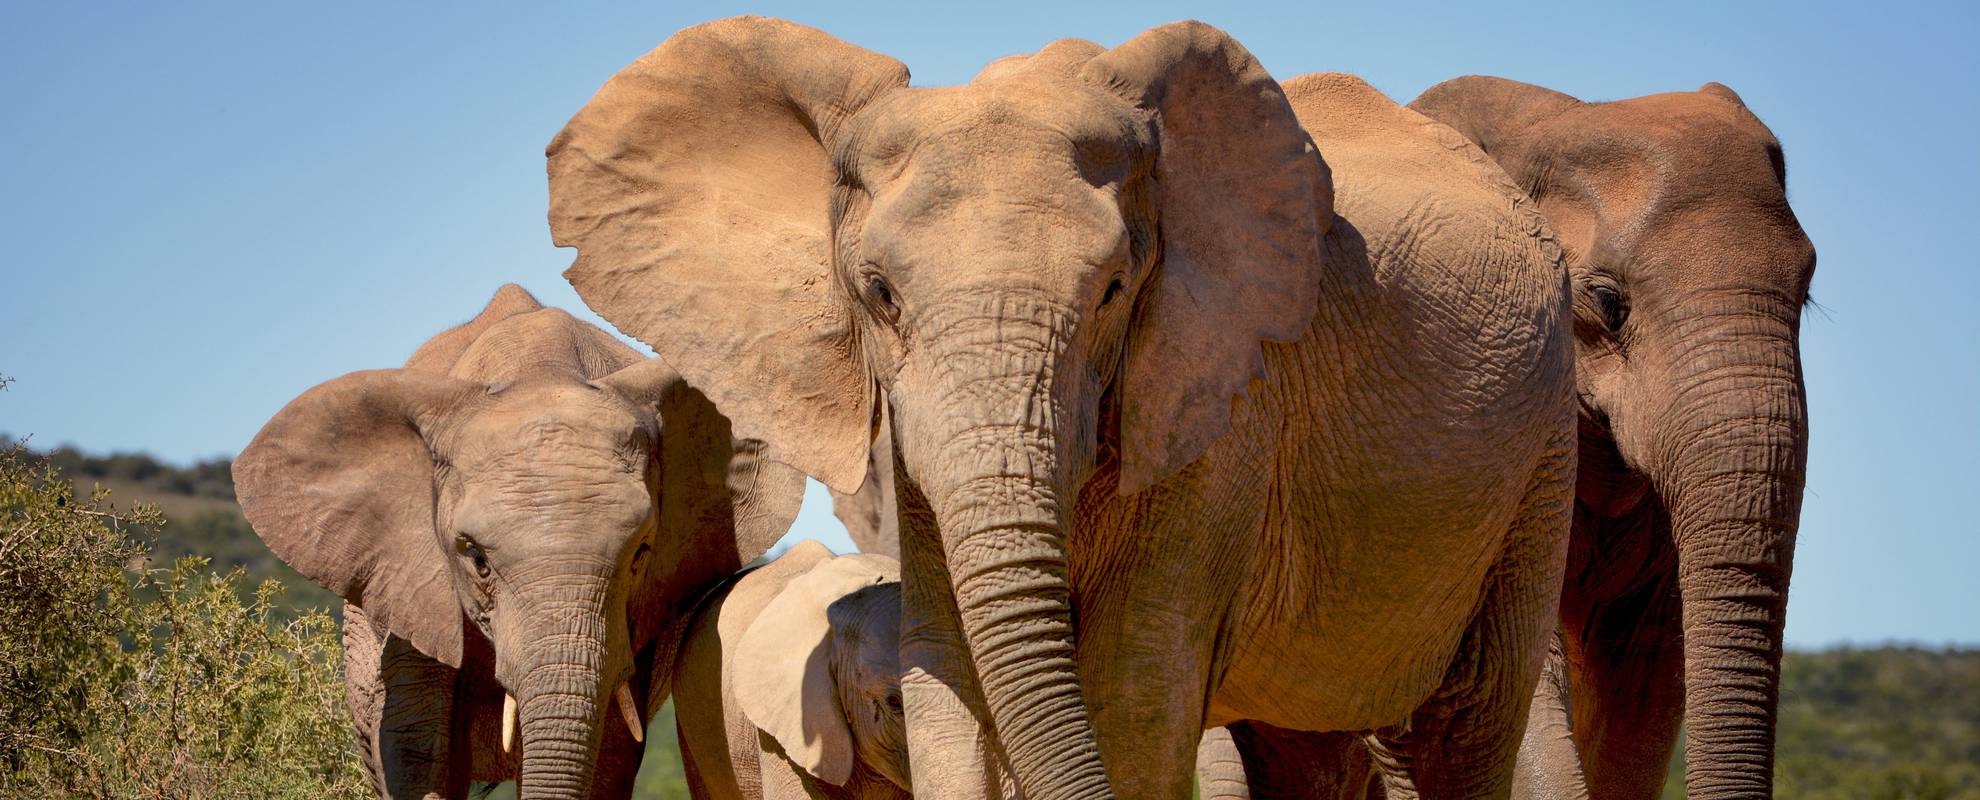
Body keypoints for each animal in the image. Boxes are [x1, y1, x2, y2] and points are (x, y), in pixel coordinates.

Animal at [235, 285, 807, 796]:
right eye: (476, 558)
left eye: (641, 555)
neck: (540, 372)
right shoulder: (411, 579)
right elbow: (417, 745)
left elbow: (612, 742)